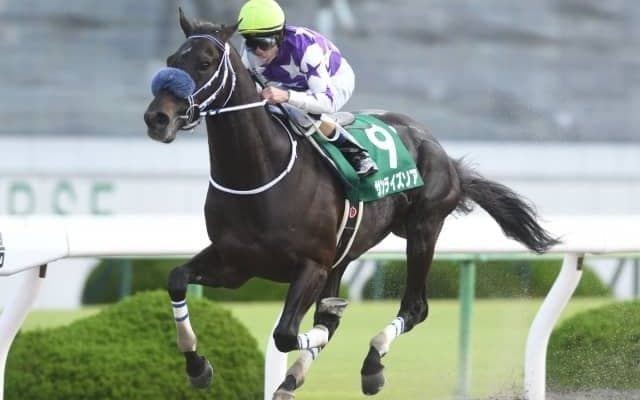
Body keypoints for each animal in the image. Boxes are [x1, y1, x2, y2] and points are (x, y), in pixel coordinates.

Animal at [143, 9, 559, 400]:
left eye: (205, 62)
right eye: (171, 59)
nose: (157, 118)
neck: (259, 174)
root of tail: (440, 150)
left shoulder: (311, 264)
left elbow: (286, 333)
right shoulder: (235, 264)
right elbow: (176, 279)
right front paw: (198, 367)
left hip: (423, 230)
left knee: (414, 308)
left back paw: (371, 364)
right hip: (345, 253)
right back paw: (296, 375)